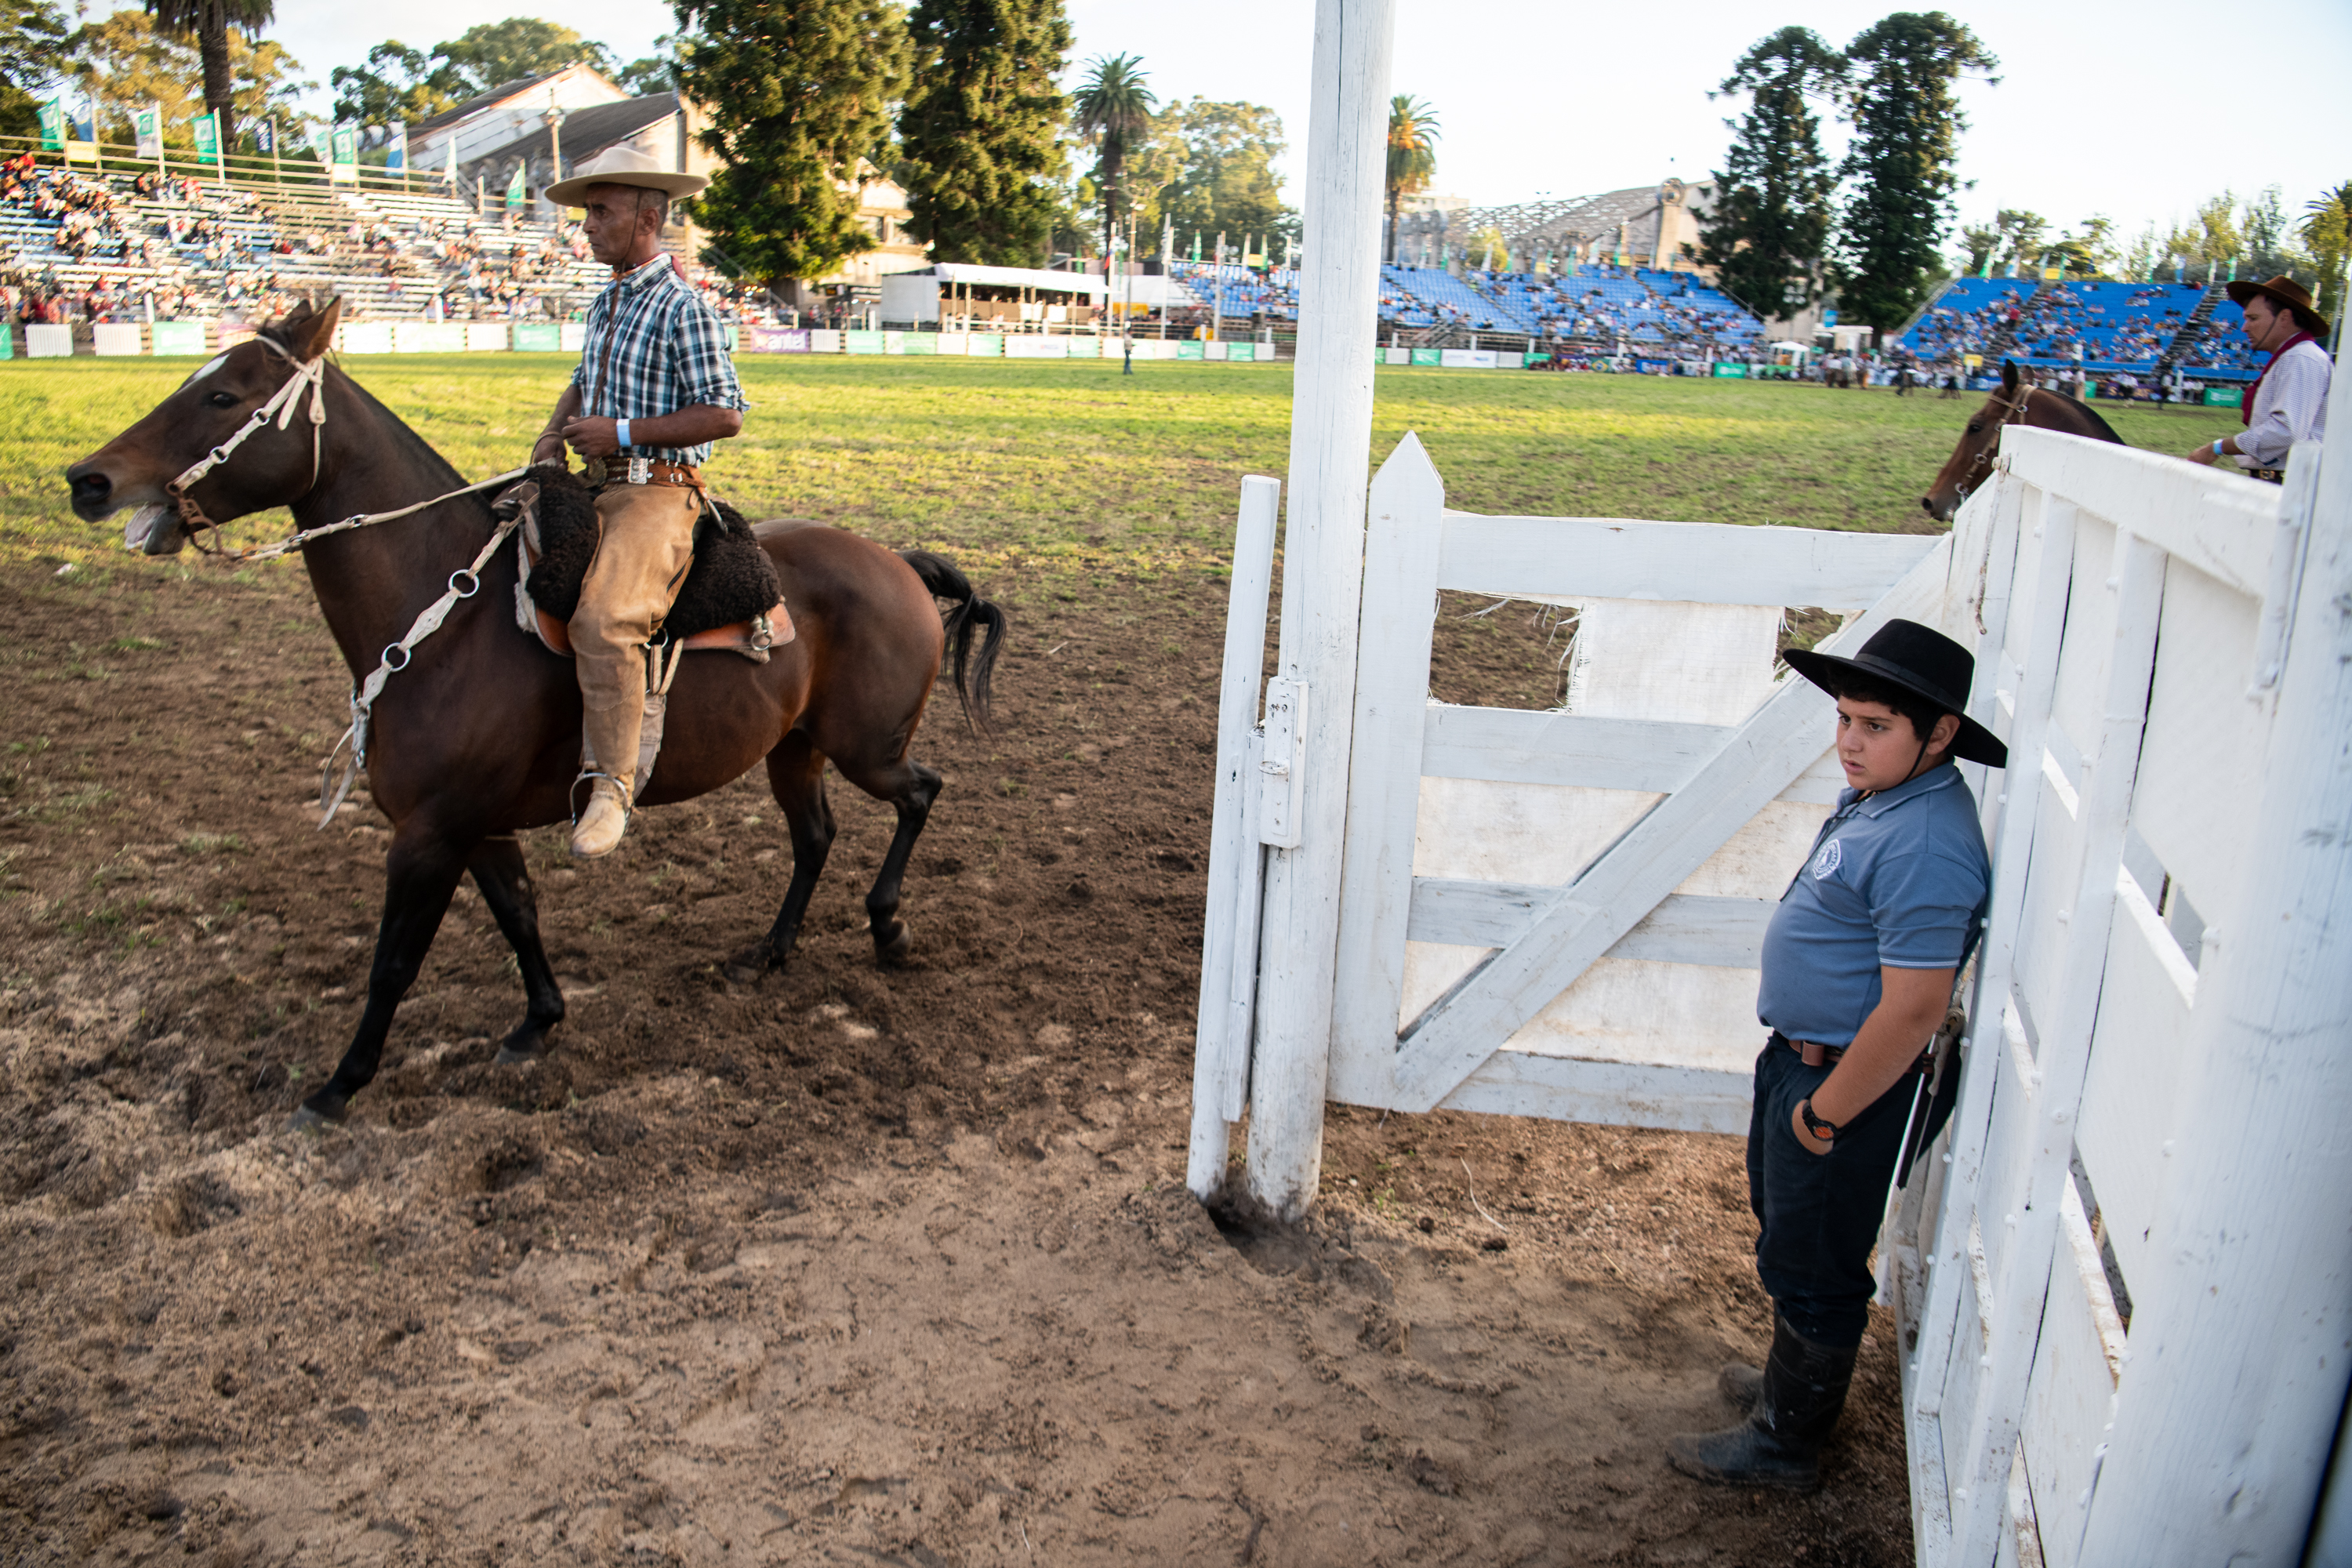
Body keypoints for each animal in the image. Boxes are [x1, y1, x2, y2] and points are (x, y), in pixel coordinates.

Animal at [63, 298, 1007, 1132]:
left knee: (921, 792)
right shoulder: (475, 824)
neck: (455, 617)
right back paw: (770, 953)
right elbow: (518, 912)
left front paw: (337, 1087)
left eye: (224, 396)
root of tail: (899, 561)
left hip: (865, 747)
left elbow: (393, 964)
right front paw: (538, 1021)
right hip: (793, 749)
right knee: (816, 836)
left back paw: (889, 927)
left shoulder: (428, 834)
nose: (87, 480)